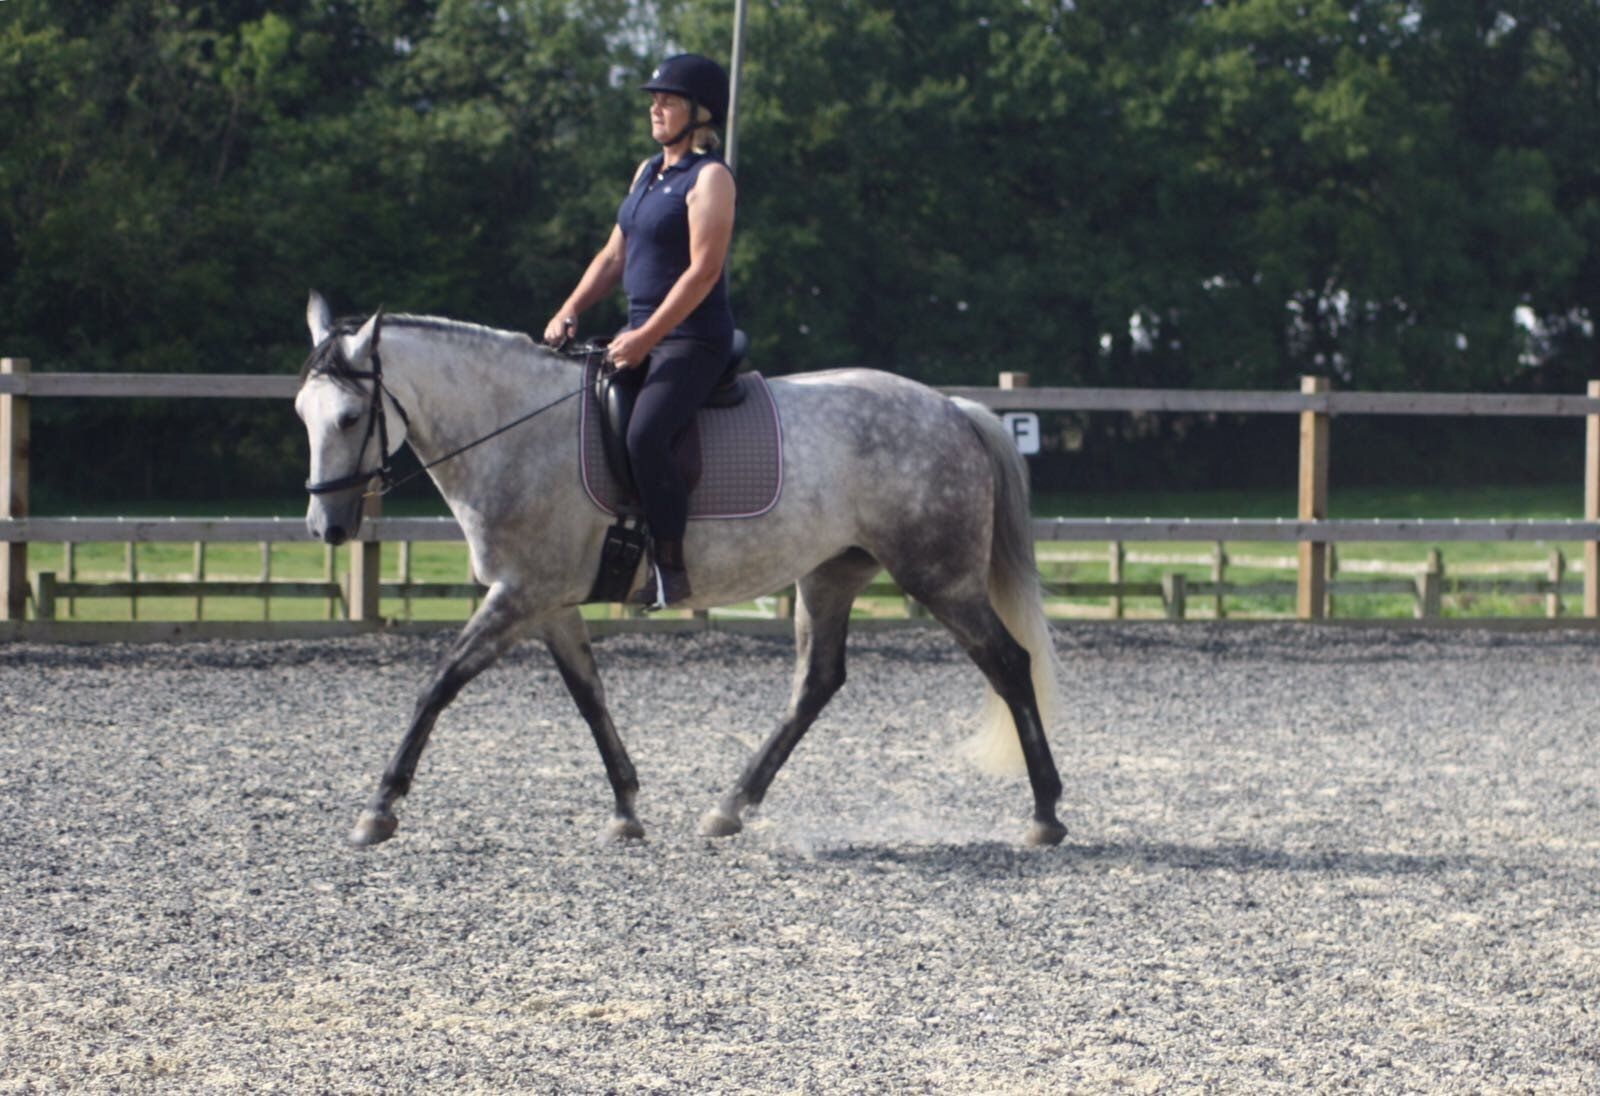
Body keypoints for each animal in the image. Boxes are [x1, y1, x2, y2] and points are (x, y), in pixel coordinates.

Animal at [295, 291, 1067, 848]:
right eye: (303, 412)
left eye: (351, 416)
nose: (326, 528)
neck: (518, 431)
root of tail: (951, 408)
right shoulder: (549, 604)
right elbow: (590, 698)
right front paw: (626, 810)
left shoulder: (519, 596)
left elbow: (438, 684)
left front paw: (379, 808)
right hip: (830, 575)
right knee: (816, 684)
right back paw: (730, 808)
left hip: (939, 576)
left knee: (1008, 662)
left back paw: (1045, 814)